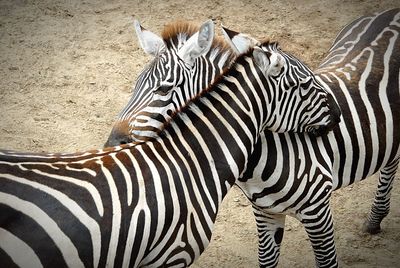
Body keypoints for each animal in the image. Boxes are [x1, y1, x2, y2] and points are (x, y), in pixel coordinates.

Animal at [105, 8, 400, 268]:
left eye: (164, 89)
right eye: (135, 85)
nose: (111, 145)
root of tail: (390, 11)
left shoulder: (317, 208)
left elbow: (327, 261)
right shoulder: (265, 211)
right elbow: (266, 260)